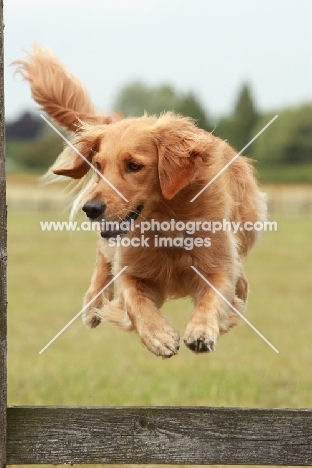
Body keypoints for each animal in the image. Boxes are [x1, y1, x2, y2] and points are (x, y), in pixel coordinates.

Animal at [12, 45, 266, 356]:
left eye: (134, 166)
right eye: (98, 166)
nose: (91, 209)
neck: (166, 220)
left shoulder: (217, 263)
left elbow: (214, 295)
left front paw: (202, 330)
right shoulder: (131, 270)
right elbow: (133, 299)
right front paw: (158, 335)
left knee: (240, 279)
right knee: (102, 259)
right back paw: (92, 305)